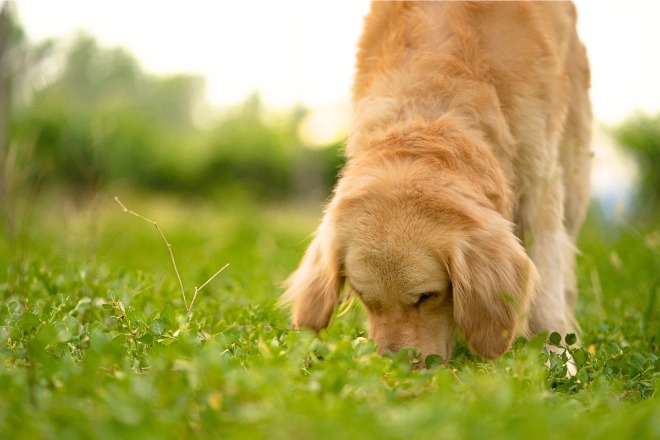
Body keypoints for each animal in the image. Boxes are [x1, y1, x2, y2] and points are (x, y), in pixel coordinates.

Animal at [282, 0, 592, 364]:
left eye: (427, 296)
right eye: (364, 296)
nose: (394, 367)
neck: (429, 111)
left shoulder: (538, 182)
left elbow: (547, 286)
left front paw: (556, 357)